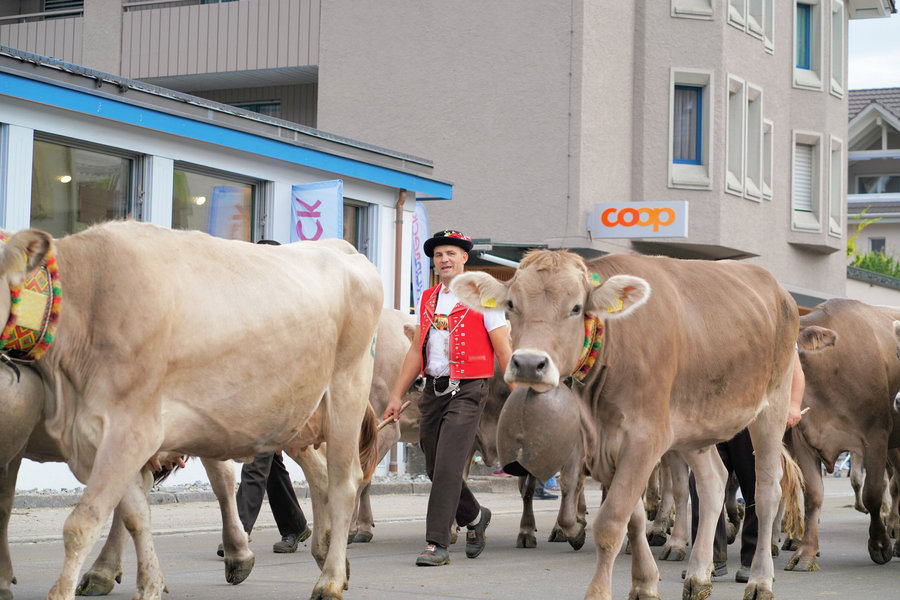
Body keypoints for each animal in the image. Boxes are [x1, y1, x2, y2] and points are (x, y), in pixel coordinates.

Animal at [0, 221, 381, 600]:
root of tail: (343, 248)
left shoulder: (131, 430)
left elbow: (82, 522)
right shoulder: (99, 438)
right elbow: (135, 513)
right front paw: (149, 584)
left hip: (347, 389)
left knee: (344, 482)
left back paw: (329, 579)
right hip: (296, 419)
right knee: (319, 477)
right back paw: (324, 554)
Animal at [452, 249, 797, 600]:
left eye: (576, 307)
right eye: (511, 305)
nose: (528, 364)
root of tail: (777, 287)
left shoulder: (644, 440)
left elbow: (611, 520)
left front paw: (599, 592)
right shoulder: (603, 445)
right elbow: (632, 518)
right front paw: (645, 582)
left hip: (773, 406)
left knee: (767, 492)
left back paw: (760, 580)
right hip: (695, 425)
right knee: (713, 482)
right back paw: (699, 575)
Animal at [786, 299, 900, 571]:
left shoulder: (876, 437)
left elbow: (873, 493)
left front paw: (879, 544)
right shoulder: (803, 438)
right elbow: (813, 494)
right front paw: (806, 551)